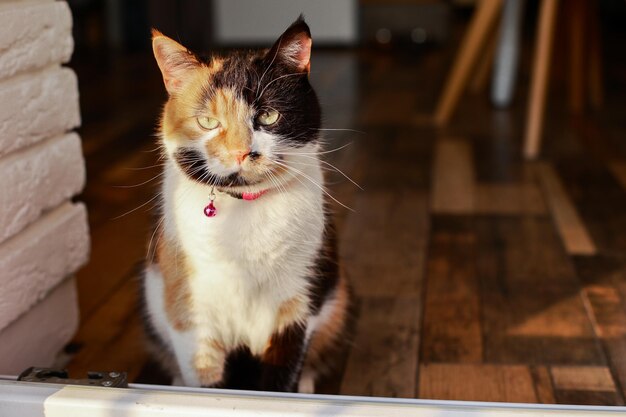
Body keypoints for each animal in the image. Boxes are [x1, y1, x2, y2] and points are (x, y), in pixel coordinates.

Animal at [138, 17, 348, 394]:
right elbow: (204, 381)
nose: (240, 152)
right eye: (207, 121)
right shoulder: (190, 313)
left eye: (268, 116)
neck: (244, 210)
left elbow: (280, 381)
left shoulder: (296, 306)